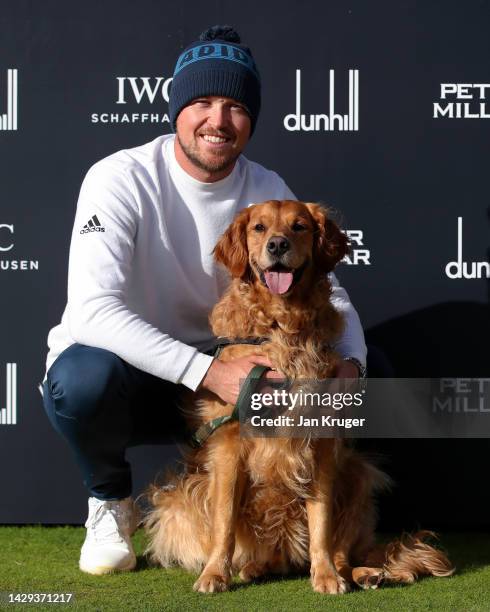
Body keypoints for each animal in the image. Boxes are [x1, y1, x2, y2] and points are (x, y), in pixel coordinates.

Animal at [144, 200, 454, 592]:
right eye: (259, 227)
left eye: (299, 226)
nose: (277, 245)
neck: (282, 326)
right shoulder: (228, 444)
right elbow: (224, 521)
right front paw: (214, 574)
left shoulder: (320, 443)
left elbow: (321, 521)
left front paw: (326, 575)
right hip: (180, 497)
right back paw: (253, 568)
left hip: (357, 476)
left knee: (344, 550)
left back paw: (360, 573)